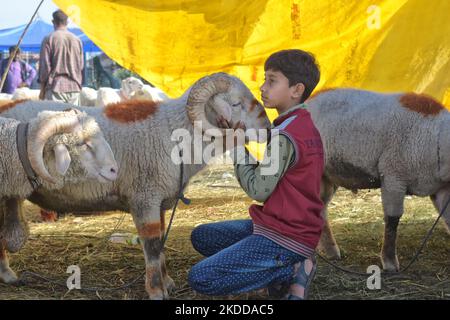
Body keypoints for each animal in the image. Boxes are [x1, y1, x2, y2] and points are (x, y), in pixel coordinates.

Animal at [308, 89, 450, 272]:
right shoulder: (393, 176)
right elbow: (392, 220)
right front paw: (390, 263)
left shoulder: (441, 189)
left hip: (327, 177)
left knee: (320, 208)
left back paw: (330, 251)